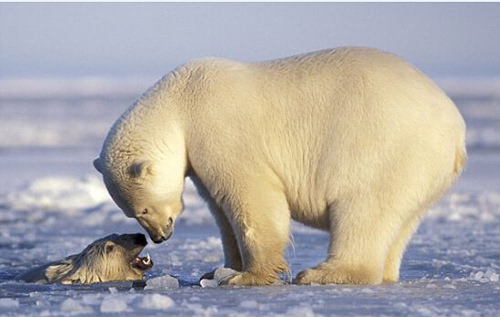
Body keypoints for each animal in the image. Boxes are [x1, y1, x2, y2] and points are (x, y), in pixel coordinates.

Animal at [94, 48, 468, 286]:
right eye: (132, 212)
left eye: (142, 209)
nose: (159, 237)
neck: (180, 101)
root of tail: (457, 129)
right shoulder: (199, 158)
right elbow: (221, 210)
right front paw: (216, 271)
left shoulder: (220, 129)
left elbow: (253, 198)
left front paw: (246, 276)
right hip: (421, 172)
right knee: (399, 222)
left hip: (387, 148)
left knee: (363, 209)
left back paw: (322, 273)